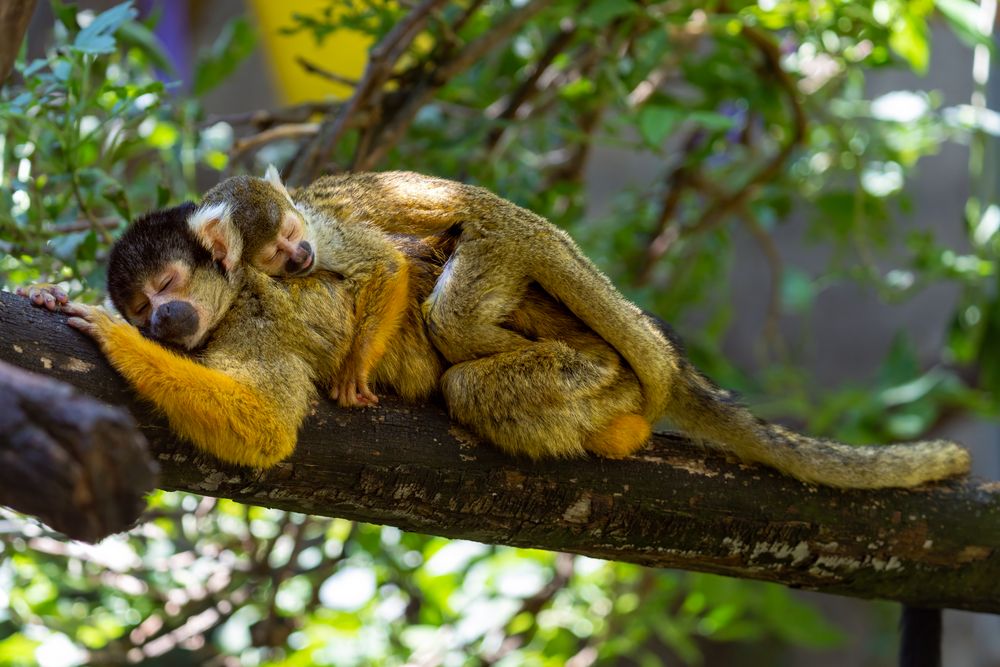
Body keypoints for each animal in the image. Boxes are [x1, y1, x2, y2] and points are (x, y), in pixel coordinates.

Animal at [186, 168, 968, 490]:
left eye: (294, 238)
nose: (299, 258)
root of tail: (532, 225)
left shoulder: (324, 231)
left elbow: (382, 265)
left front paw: (353, 368)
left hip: (502, 245)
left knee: (457, 336)